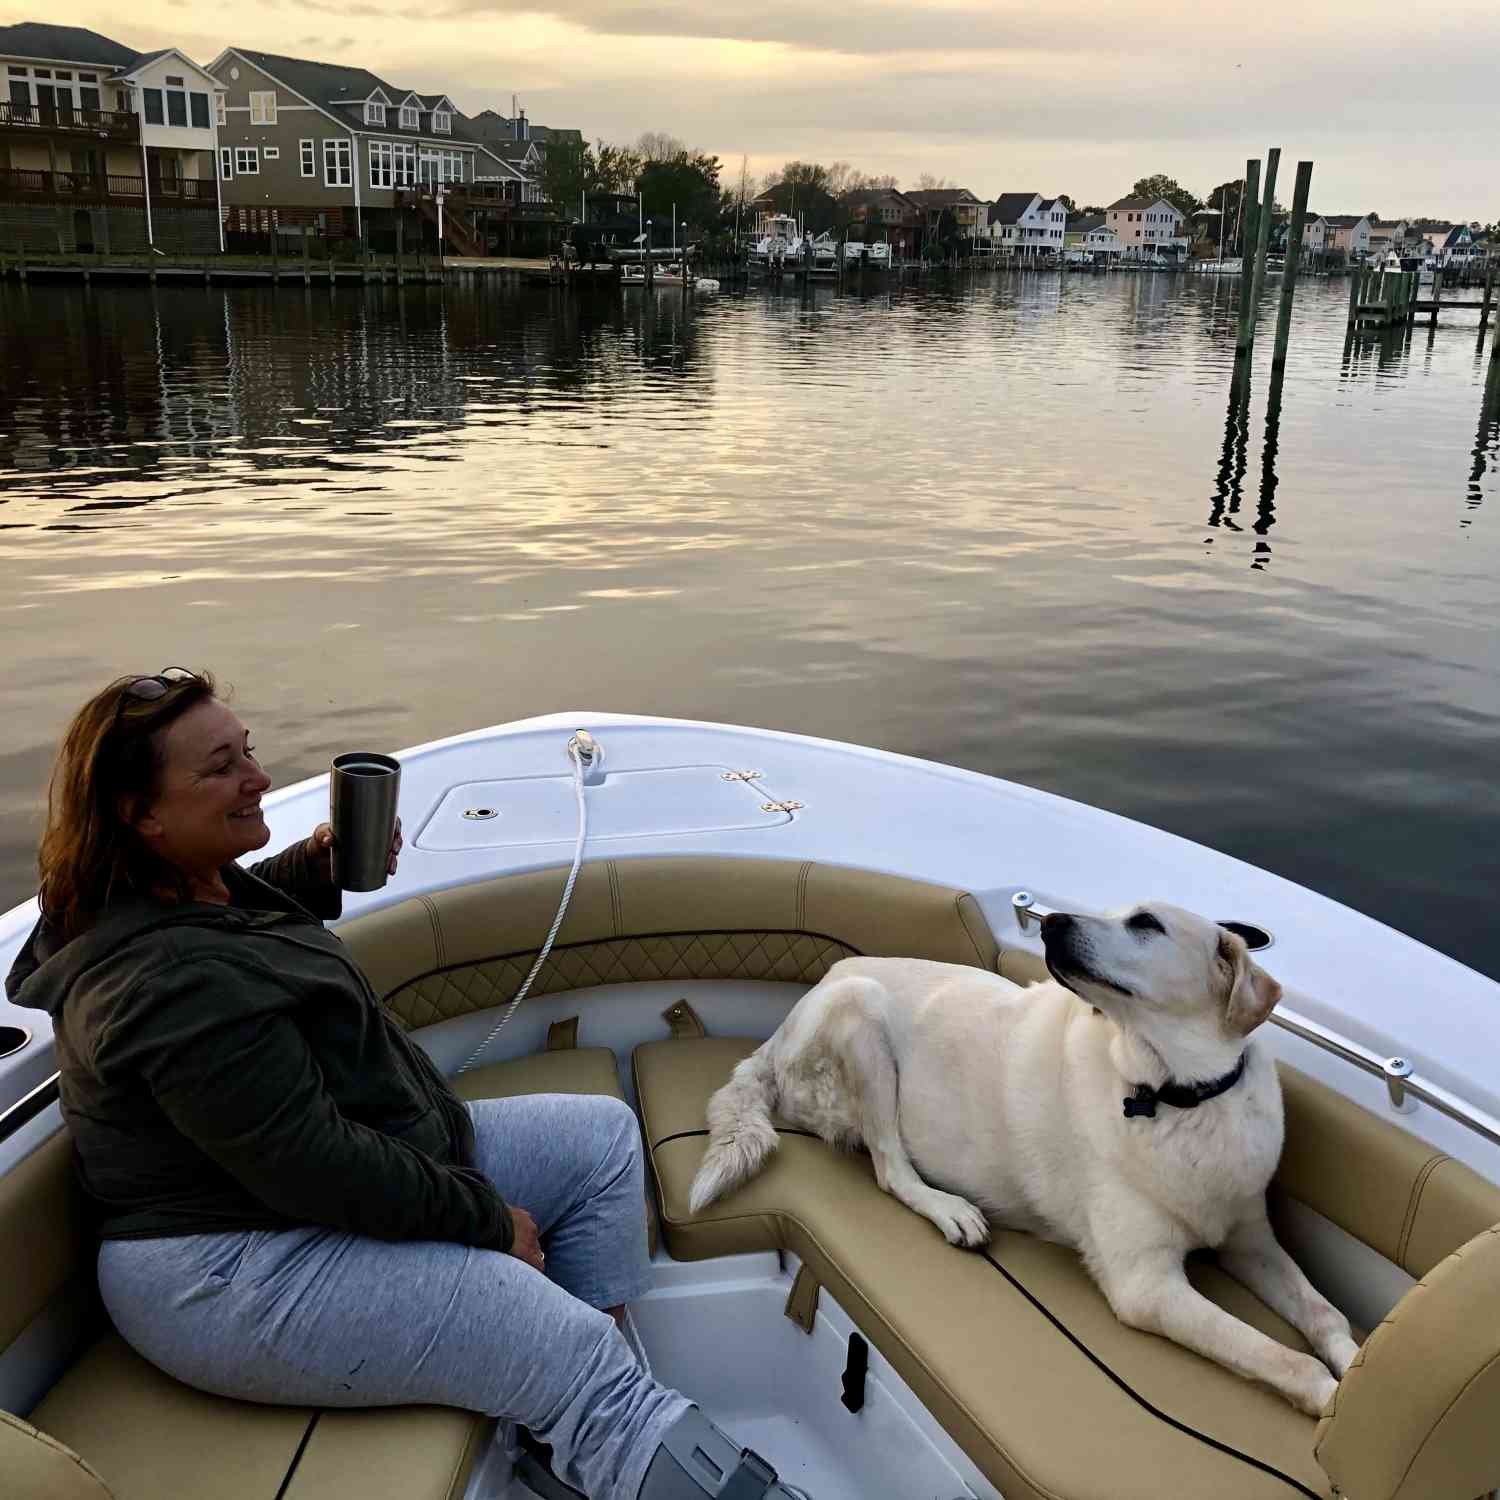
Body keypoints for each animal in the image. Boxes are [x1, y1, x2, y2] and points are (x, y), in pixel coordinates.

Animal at [690, 900, 1362, 1416]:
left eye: (1146, 923)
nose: (1053, 921)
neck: (1176, 1093)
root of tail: (780, 1032)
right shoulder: (1146, 1286)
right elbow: (1278, 1354)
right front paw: (1332, 1403)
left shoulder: (1251, 1241)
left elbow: (1326, 1313)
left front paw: (1356, 1366)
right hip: (862, 1014)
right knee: (889, 1169)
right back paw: (950, 1209)